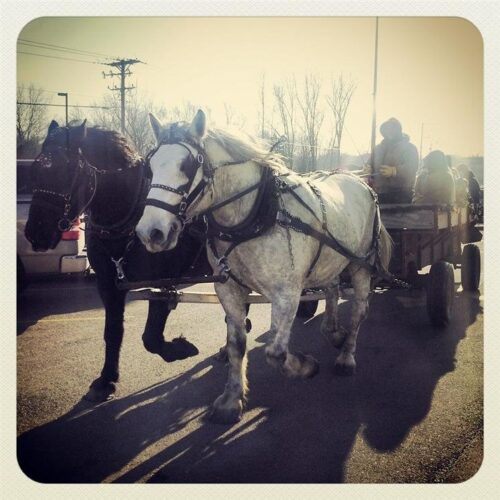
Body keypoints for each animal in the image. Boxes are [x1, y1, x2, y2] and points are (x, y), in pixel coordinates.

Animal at [136, 111, 390, 424]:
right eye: (149, 167)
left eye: (187, 165)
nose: (150, 232)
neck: (255, 217)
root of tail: (360, 181)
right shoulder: (228, 289)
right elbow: (236, 344)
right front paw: (231, 400)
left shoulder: (287, 293)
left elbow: (275, 353)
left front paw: (305, 366)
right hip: (330, 259)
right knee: (331, 289)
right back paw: (333, 331)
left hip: (360, 263)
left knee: (358, 311)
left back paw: (346, 355)